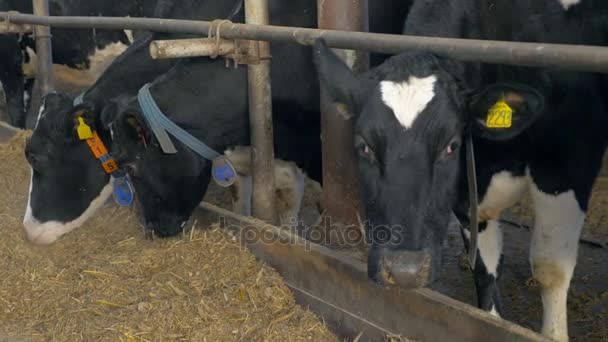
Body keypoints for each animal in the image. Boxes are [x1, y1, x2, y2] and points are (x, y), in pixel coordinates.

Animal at [314, 1, 608, 340]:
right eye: (364, 146)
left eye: (451, 145)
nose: (404, 270)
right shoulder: (468, 193)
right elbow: (484, 265)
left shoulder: (569, 160)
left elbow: (551, 267)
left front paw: (553, 334)